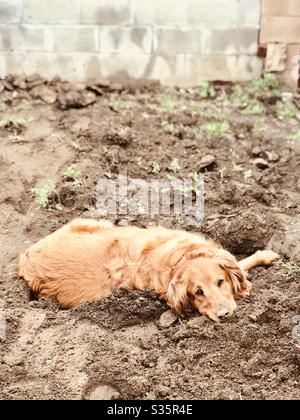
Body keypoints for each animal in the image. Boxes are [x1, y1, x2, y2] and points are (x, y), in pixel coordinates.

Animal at [18, 218, 278, 320]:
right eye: (198, 292)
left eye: (220, 282)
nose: (224, 315)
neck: (180, 260)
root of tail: (25, 256)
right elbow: (241, 264)